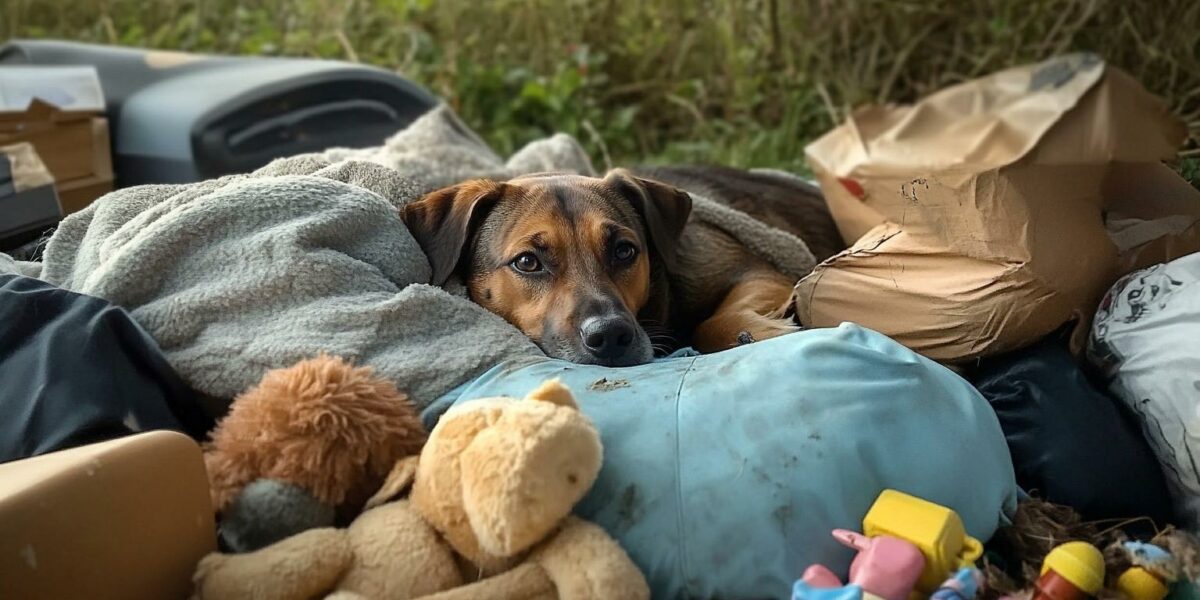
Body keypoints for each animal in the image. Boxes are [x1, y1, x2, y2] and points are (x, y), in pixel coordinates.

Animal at [403, 166, 844, 367]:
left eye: (624, 251)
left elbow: (710, 323)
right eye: (527, 261)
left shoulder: (757, 271)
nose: (611, 336)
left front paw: (762, 331)